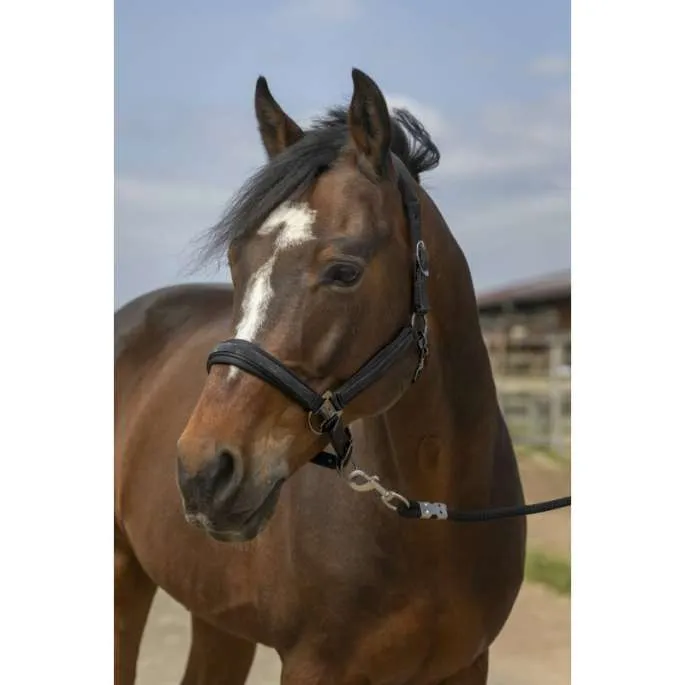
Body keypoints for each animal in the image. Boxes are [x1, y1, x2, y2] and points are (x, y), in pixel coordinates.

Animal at [114, 68, 527, 685]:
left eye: (344, 272)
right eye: (236, 261)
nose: (203, 472)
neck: (435, 519)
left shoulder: (468, 664)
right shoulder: (316, 666)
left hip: (217, 616)